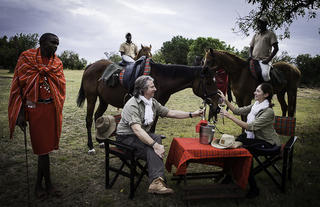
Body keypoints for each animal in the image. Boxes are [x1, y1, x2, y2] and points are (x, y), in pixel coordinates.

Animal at [76, 50, 219, 153]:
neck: (160, 79)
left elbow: (153, 128)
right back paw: (91, 146)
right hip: (92, 98)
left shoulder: (157, 106)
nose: (217, 104)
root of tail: (91, 66)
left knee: (97, 116)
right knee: (89, 120)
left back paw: (100, 141)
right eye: (208, 82)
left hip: (103, 100)